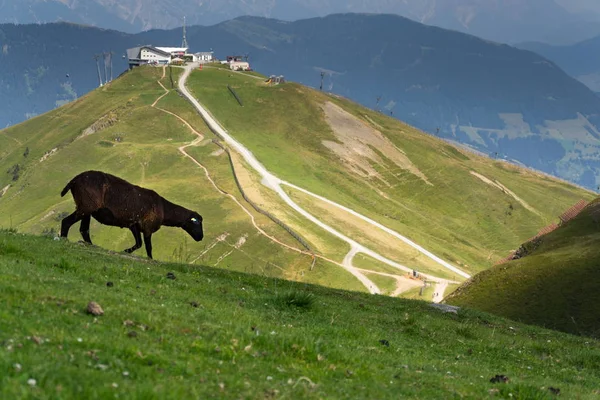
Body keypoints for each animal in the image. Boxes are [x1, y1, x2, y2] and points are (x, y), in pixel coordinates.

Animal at [60, 170, 204, 260]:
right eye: (196, 223)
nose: (201, 237)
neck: (165, 210)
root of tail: (74, 180)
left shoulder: (134, 224)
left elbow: (139, 243)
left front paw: (125, 251)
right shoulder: (147, 226)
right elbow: (148, 247)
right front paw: (150, 259)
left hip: (87, 209)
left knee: (84, 229)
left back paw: (91, 245)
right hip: (86, 206)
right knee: (66, 222)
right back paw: (63, 239)